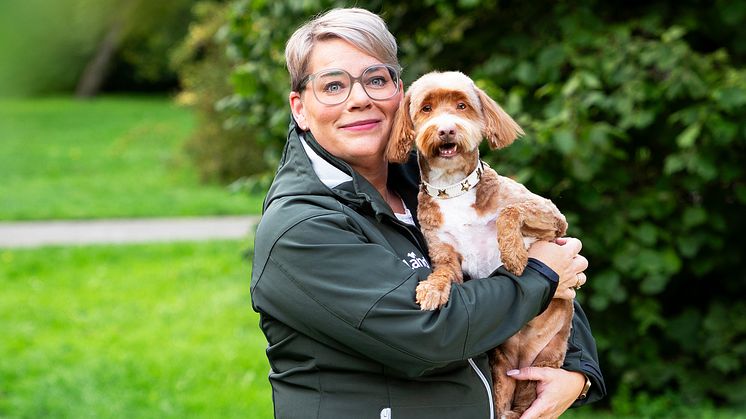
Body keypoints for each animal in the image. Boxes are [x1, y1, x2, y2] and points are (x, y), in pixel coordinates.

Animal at [386, 70, 572, 418]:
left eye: (462, 105)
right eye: (427, 108)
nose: (446, 129)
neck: (453, 189)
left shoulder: (551, 215)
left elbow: (509, 212)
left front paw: (513, 255)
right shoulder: (443, 251)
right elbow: (443, 273)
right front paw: (431, 290)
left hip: (548, 359)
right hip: (502, 369)